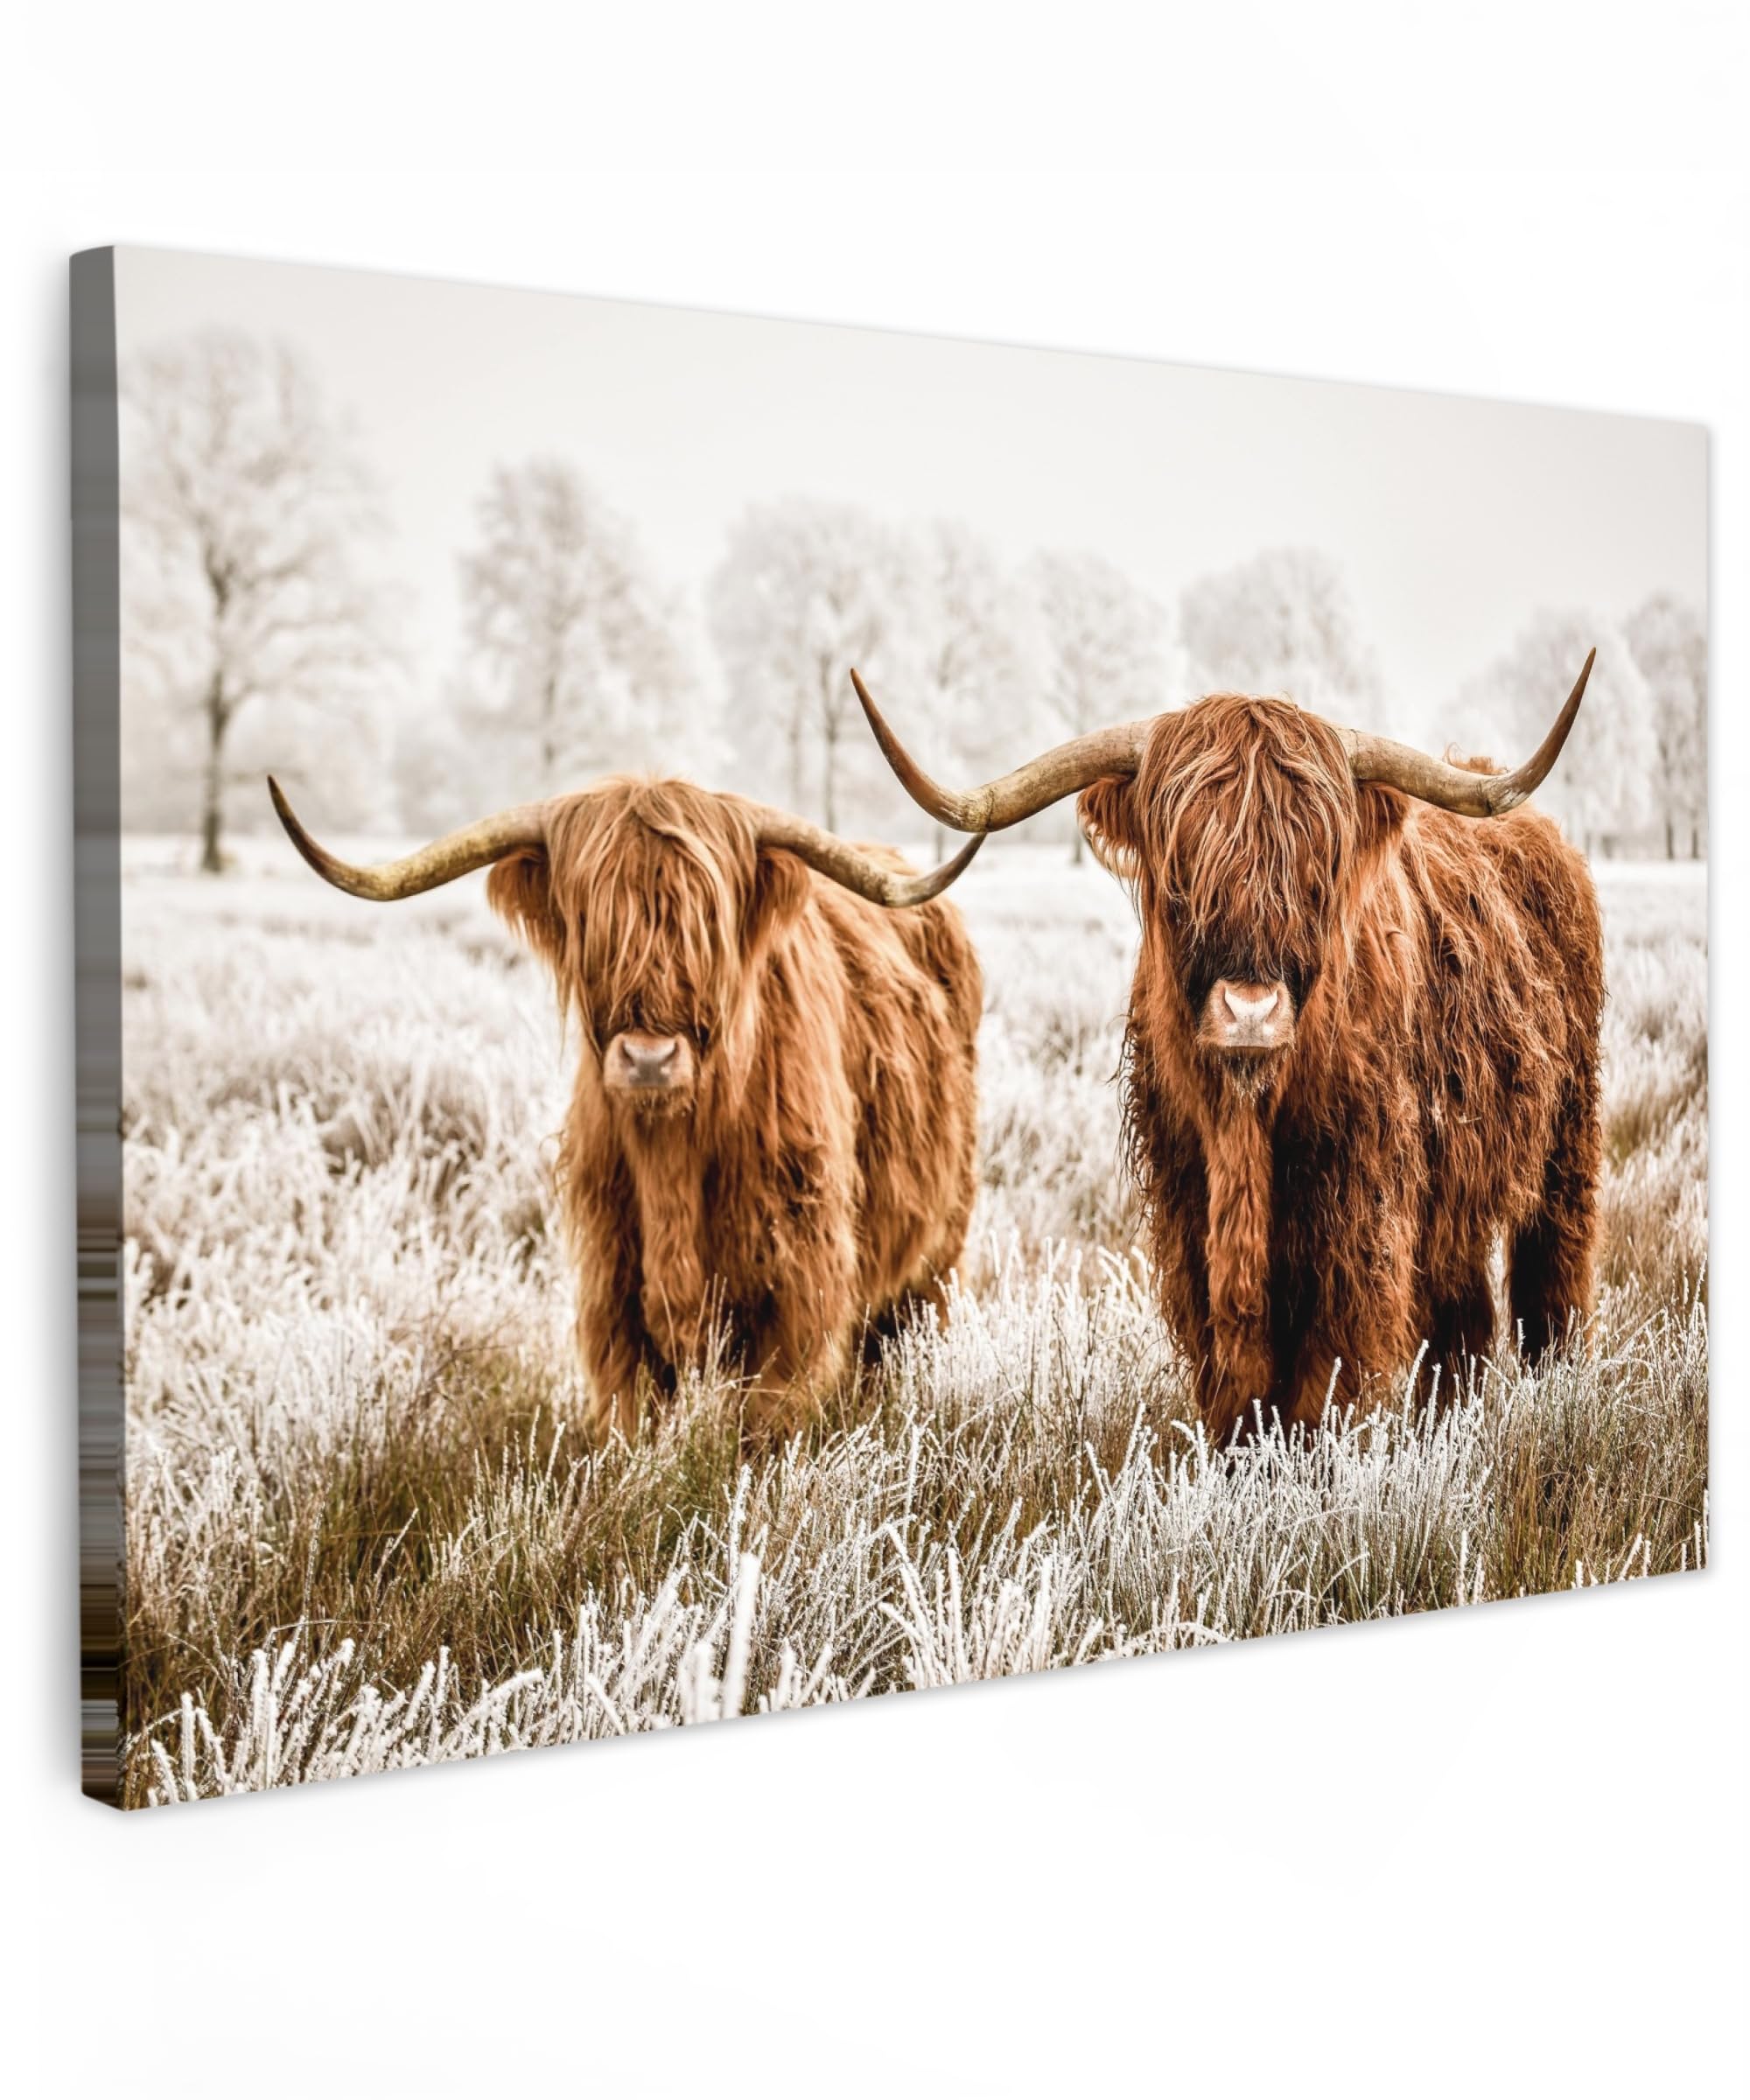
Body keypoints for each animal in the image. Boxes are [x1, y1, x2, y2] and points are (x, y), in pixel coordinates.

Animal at [268, 775, 984, 1439]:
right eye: (592, 922)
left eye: (707, 924)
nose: (648, 1059)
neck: (673, 1156)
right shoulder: (613, 1290)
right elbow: (632, 1419)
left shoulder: (799, 1285)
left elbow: (767, 1421)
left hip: (938, 1251)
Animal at [850, 655, 1603, 1444]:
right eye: (1182, 872)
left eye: (1317, 872)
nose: (1250, 1011)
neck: (1246, 1121)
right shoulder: (1189, 1213)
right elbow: (1233, 1377)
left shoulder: (1359, 1216)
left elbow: (1325, 1374)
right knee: (1464, 1314)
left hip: (1569, 1138)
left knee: (1553, 1276)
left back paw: (1554, 1389)